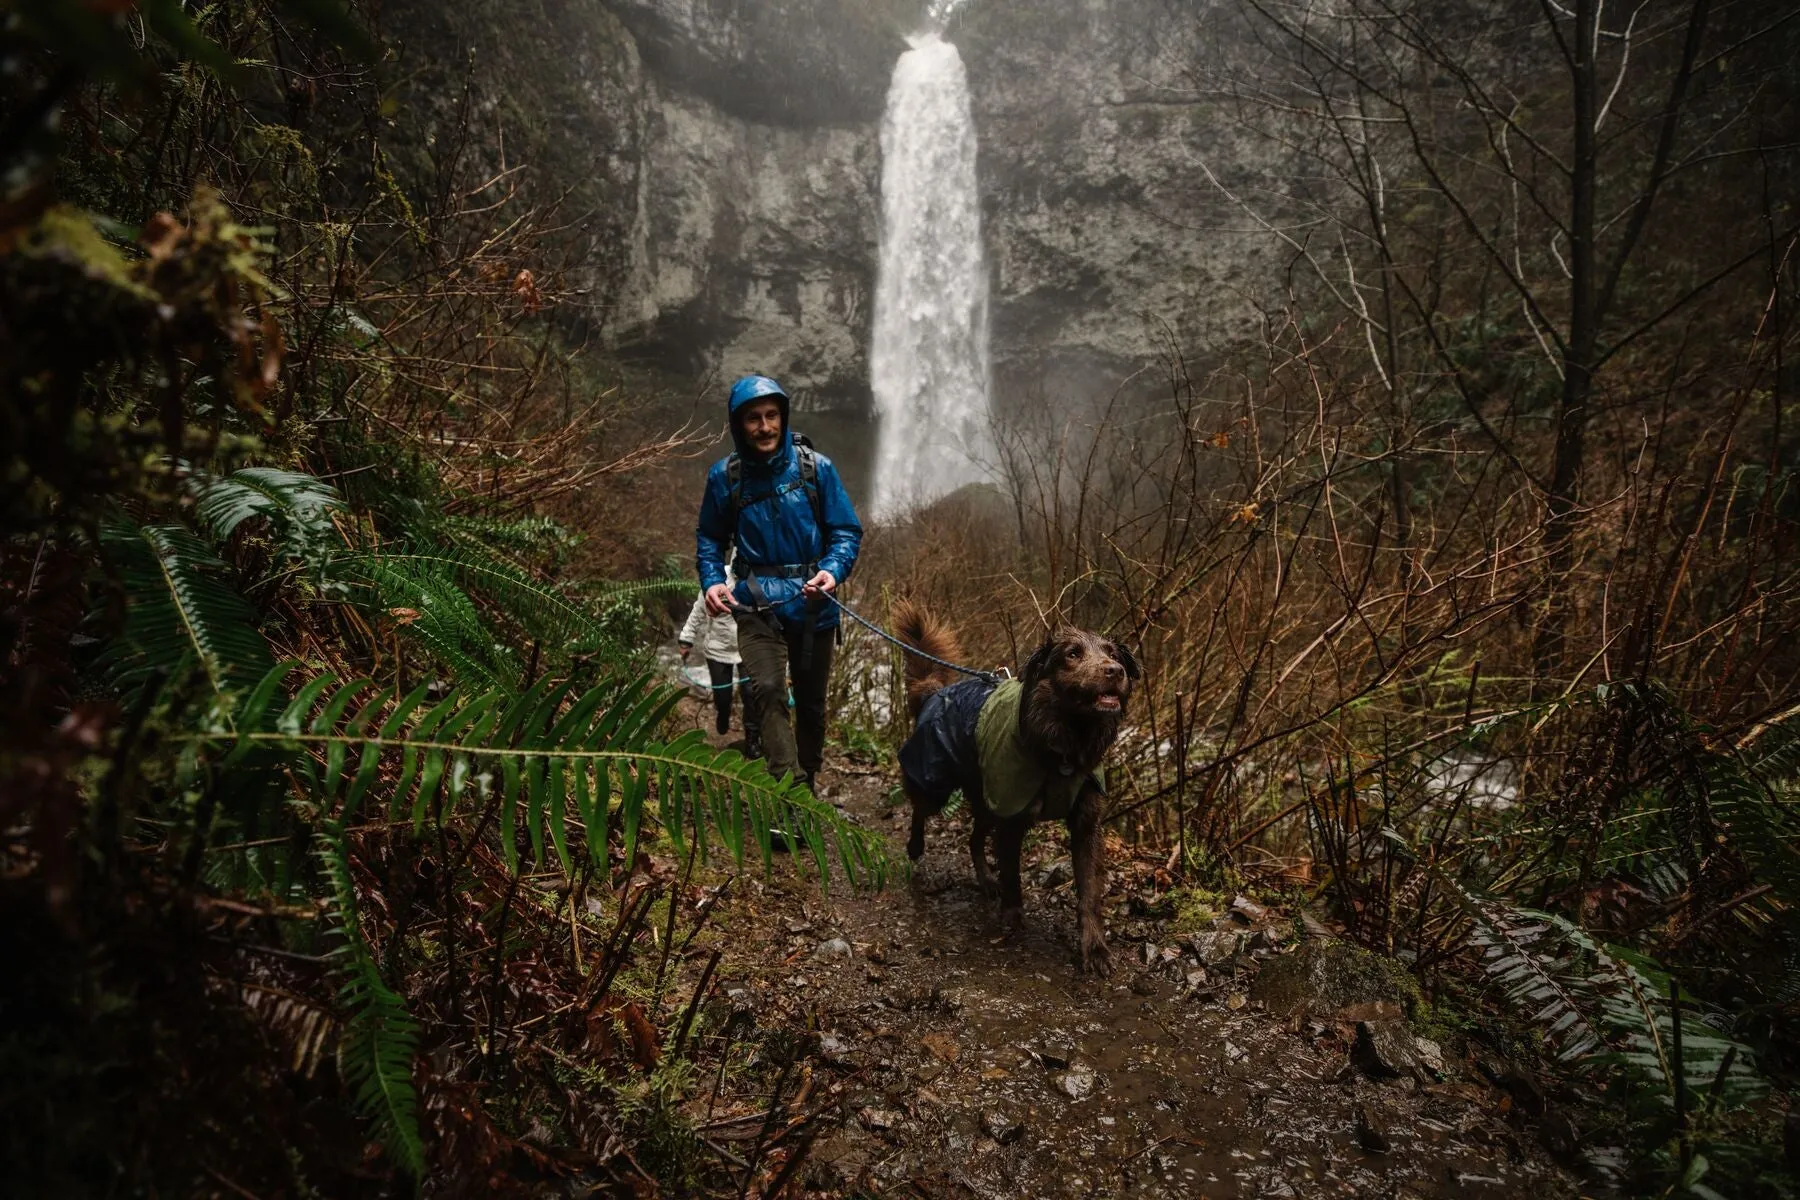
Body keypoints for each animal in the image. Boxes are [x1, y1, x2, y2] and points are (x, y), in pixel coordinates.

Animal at [889, 600, 1137, 978]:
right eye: (1072, 654)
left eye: (1113, 654)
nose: (1115, 671)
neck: (1064, 747)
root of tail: (935, 691)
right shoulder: (1012, 814)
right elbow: (1012, 870)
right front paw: (1013, 916)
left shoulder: (1086, 826)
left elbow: (1090, 893)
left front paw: (1095, 948)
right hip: (937, 781)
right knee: (919, 809)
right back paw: (916, 847)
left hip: (985, 798)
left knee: (973, 839)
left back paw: (986, 881)